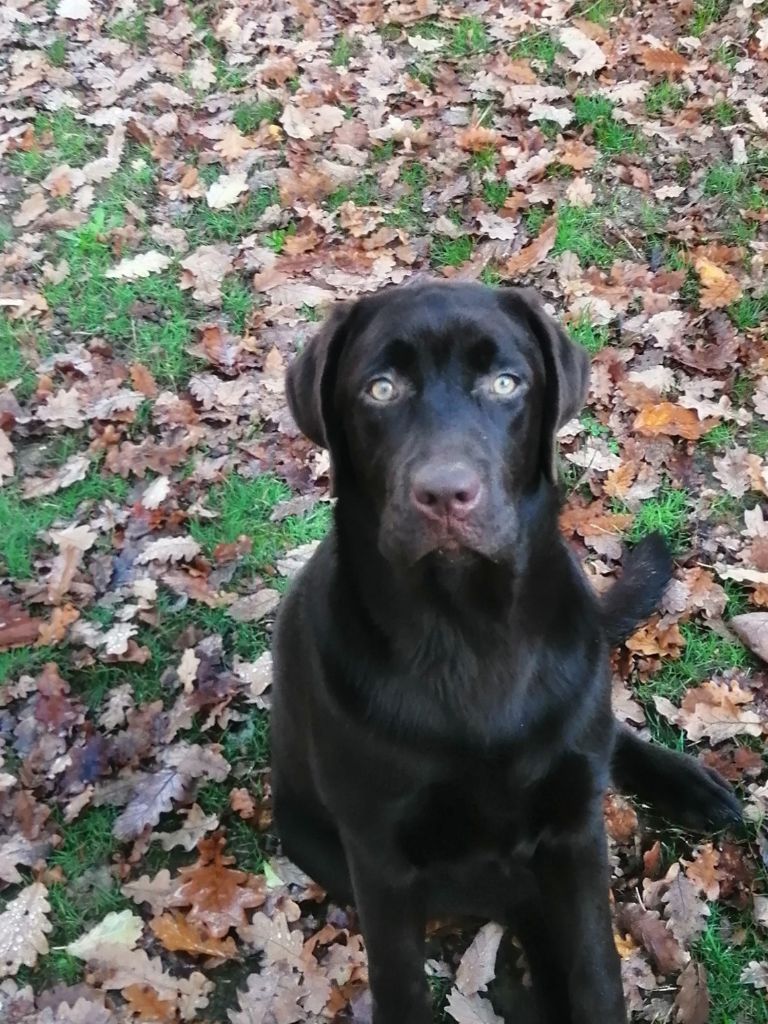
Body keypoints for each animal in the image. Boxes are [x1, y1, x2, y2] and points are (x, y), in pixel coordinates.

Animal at [274, 282, 741, 1024]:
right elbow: (402, 984)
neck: (469, 633)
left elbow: (597, 971)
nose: (444, 494)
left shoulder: (576, 834)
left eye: (505, 383)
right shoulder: (379, 860)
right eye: (380, 389)